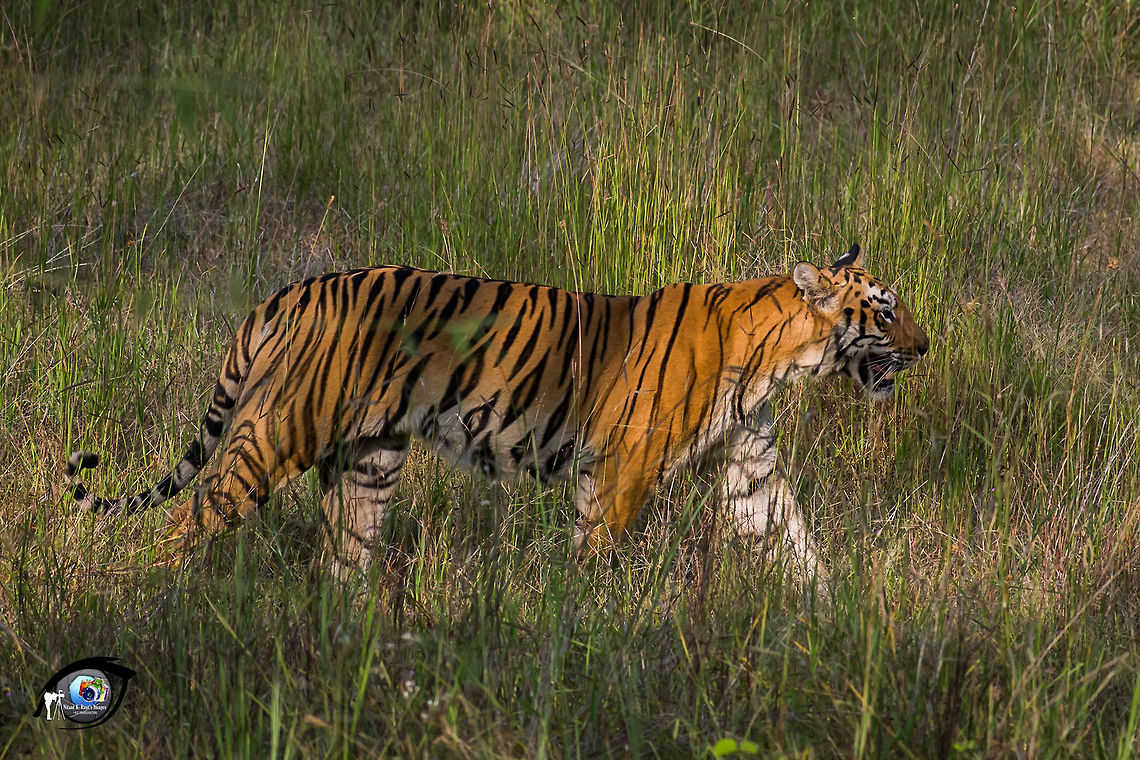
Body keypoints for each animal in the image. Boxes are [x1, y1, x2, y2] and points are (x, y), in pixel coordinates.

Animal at [66, 243, 929, 581]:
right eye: (885, 313)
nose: (925, 346)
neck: (782, 360)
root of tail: (292, 290)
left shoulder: (749, 467)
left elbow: (798, 548)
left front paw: (831, 622)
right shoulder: (624, 466)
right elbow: (596, 552)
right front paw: (586, 622)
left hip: (369, 459)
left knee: (343, 557)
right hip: (274, 434)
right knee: (187, 522)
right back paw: (149, 599)